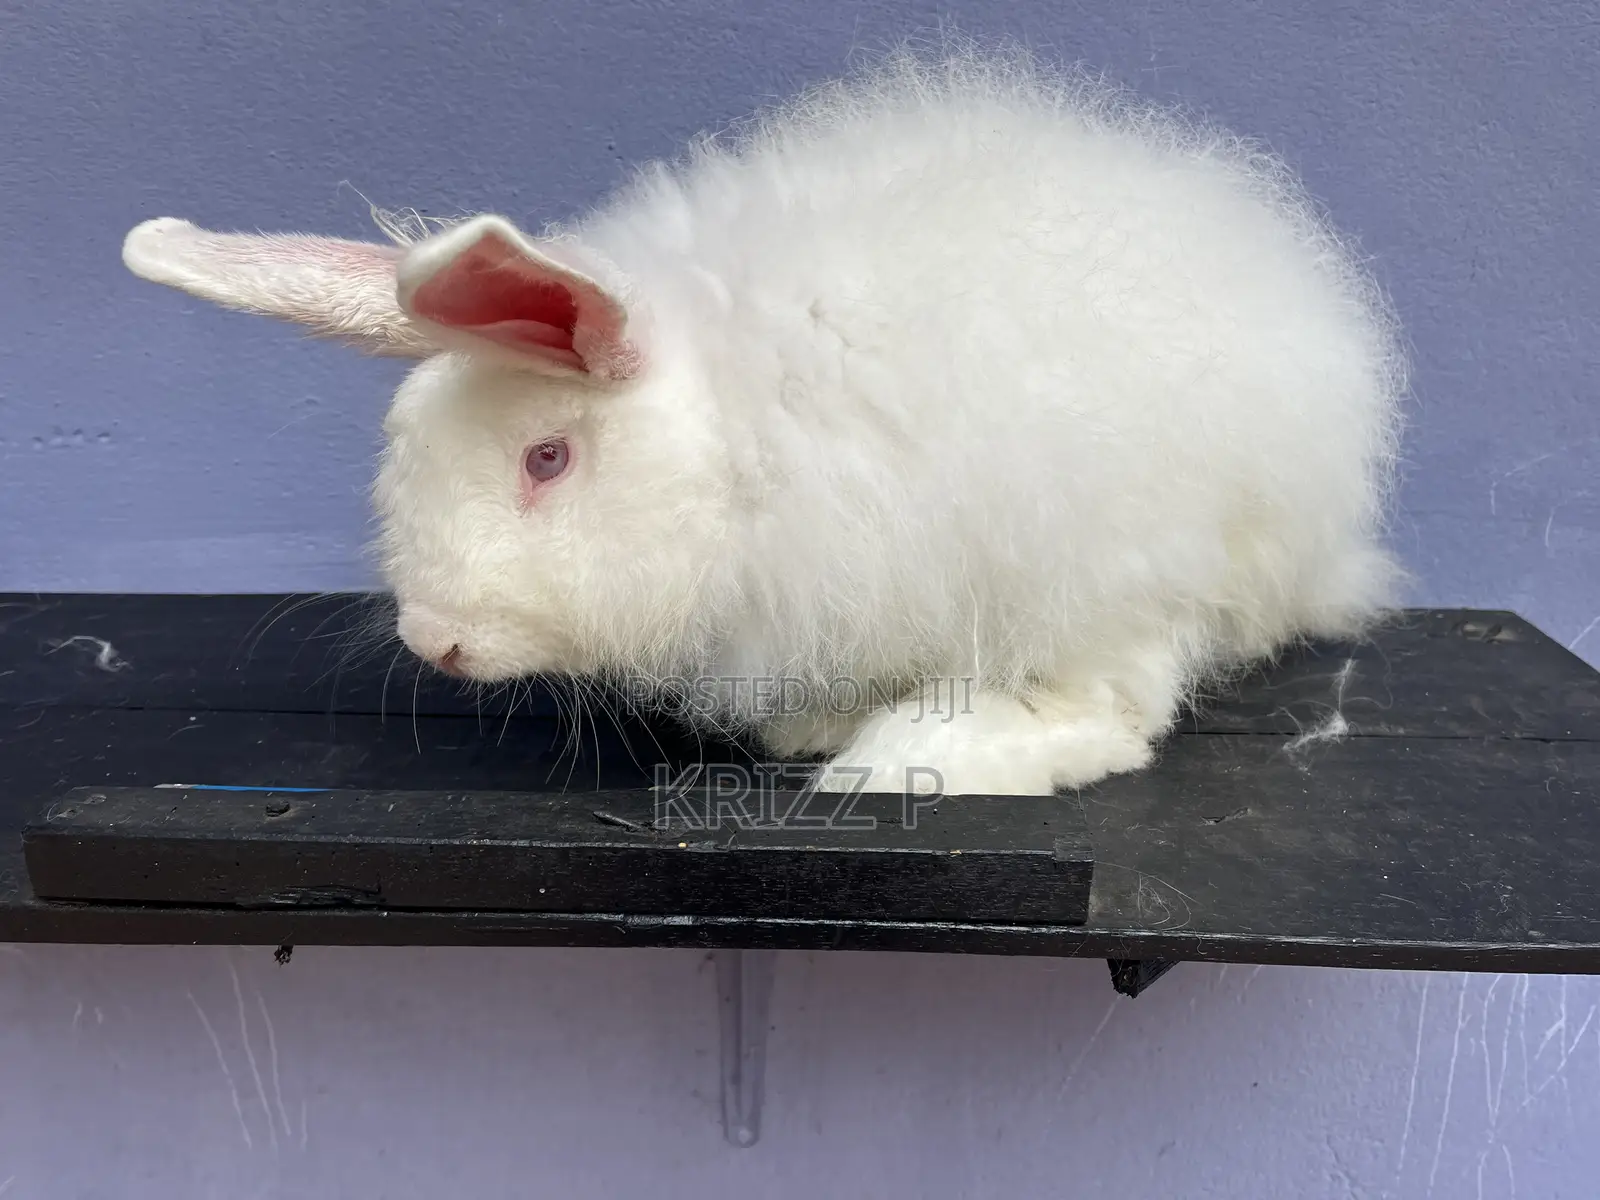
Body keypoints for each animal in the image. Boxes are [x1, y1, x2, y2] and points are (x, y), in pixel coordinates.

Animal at [120, 45, 1405, 798]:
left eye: (548, 458)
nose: (436, 641)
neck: (741, 435)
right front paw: (809, 726)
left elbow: (1098, 711)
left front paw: (886, 749)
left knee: (1120, 708)